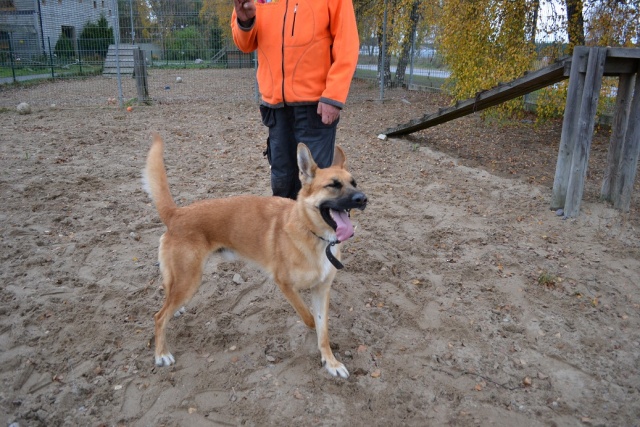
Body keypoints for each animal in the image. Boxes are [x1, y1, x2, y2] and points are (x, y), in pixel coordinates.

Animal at [143, 132, 367, 378]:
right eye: (333, 185)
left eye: (354, 183)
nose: (363, 199)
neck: (313, 233)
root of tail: (177, 213)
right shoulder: (285, 285)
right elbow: (308, 317)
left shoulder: (322, 289)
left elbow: (323, 329)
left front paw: (330, 361)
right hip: (189, 281)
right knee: (159, 316)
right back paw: (161, 353)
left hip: (182, 280)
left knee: (167, 295)